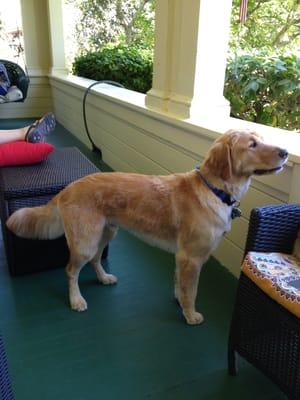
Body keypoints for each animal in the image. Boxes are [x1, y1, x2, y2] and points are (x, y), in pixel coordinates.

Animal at [7, 131, 288, 324]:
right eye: (252, 144)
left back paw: (104, 278)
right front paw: (190, 315)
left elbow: (179, 283)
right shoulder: (192, 258)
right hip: (85, 241)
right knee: (70, 271)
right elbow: (192, 290)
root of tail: (69, 187)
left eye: (261, 140)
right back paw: (76, 300)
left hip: (106, 233)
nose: (285, 152)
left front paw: (179, 301)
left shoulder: (181, 257)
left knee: (96, 261)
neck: (214, 190)